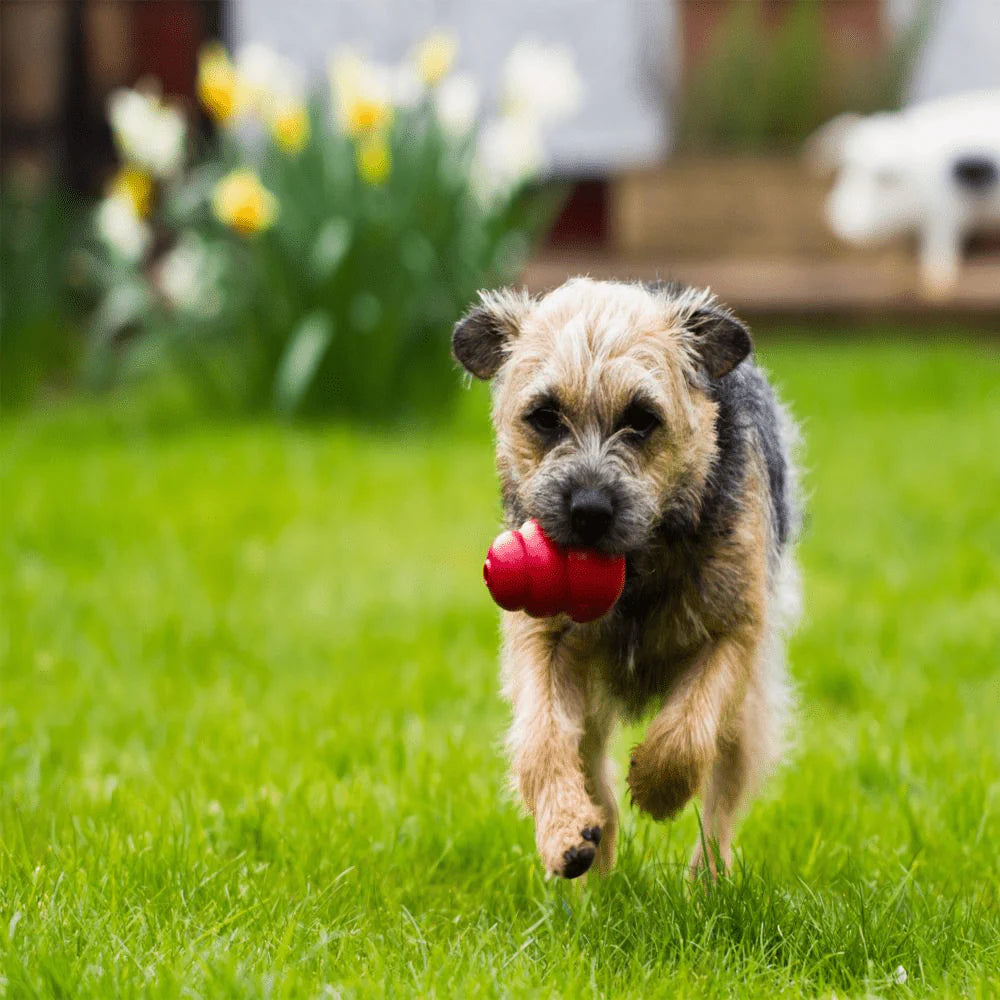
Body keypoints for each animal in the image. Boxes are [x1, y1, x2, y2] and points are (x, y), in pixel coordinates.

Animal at [450, 278, 800, 880]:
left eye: (641, 418)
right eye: (545, 416)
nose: (589, 510)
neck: (636, 572)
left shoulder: (735, 633)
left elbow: (687, 731)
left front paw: (658, 788)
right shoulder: (542, 639)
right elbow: (542, 738)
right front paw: (564, 831)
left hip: (749, 710)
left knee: (722, 796)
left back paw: (707, 877)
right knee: (592, 768)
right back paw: (596, 850)